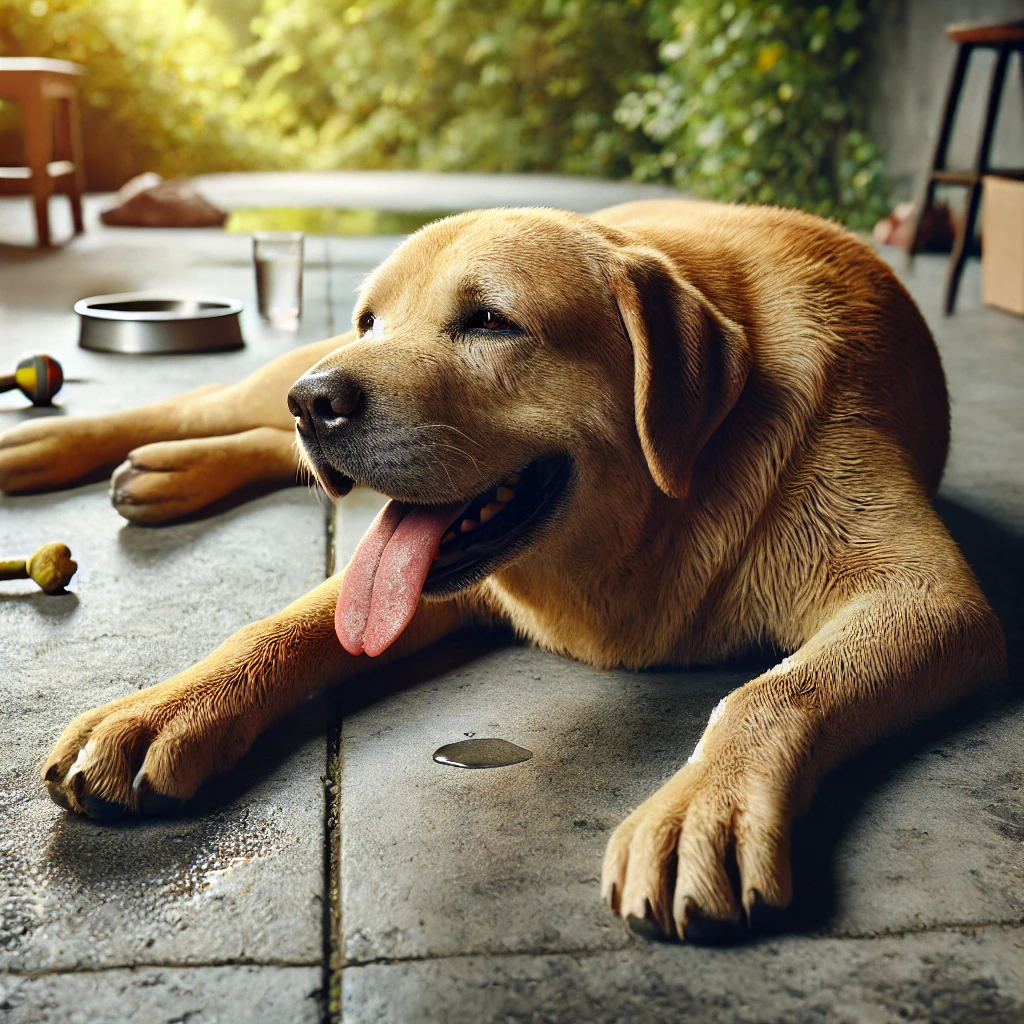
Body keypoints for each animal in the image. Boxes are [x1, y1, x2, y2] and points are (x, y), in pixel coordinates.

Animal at [2, 199, 1007, 942]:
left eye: (490, 321)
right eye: (372, 318)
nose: (316, 405)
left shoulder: (928, 594)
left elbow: (772, 691)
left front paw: (702, 806)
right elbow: (280, 627)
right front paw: (158, 709)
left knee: (257, 438)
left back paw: (172, 469)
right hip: (282, 370)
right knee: (206, 403)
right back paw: (58, 445)